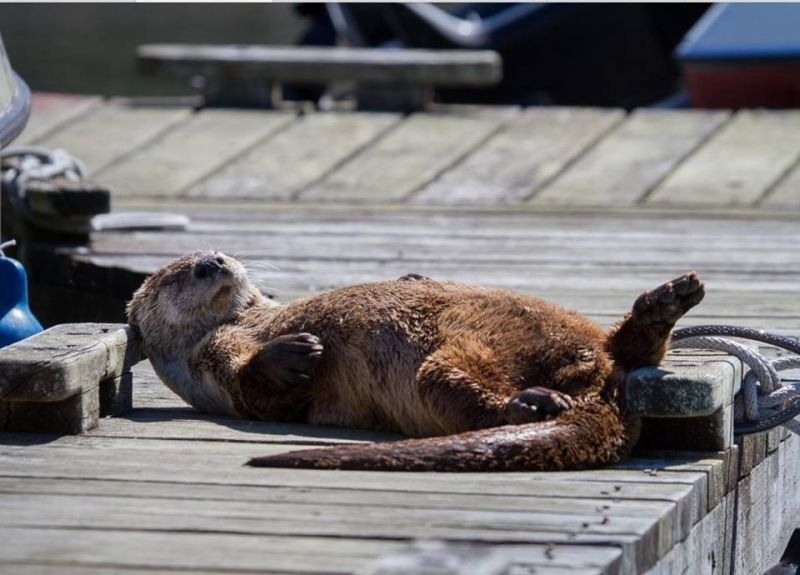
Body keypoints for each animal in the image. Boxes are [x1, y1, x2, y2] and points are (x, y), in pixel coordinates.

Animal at [130, 252, 708, 472]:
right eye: (177, 274)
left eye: (217, 254)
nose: (212, 262)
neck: (251, 320)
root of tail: (602, 392)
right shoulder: (216, 364)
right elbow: (256, 389)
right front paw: (295, 352)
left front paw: (413, 276)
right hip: (446, 361)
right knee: (461, 390)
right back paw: (535, 404)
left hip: (572, 330)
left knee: (627, 351)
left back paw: (667, 301)